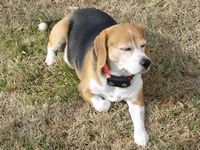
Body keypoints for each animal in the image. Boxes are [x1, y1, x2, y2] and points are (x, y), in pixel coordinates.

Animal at [39, 7, 151, 146]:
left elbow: (139, 118)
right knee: (50, 45)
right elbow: (103, 105)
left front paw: (141, 136)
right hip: (59, 34)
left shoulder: (136, 100)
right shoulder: (83, 89)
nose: (147, 62)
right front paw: (106, 101)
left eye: (143, 45)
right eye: (126, 49)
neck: (116, 78)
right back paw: (51, 59)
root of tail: (77, 11)